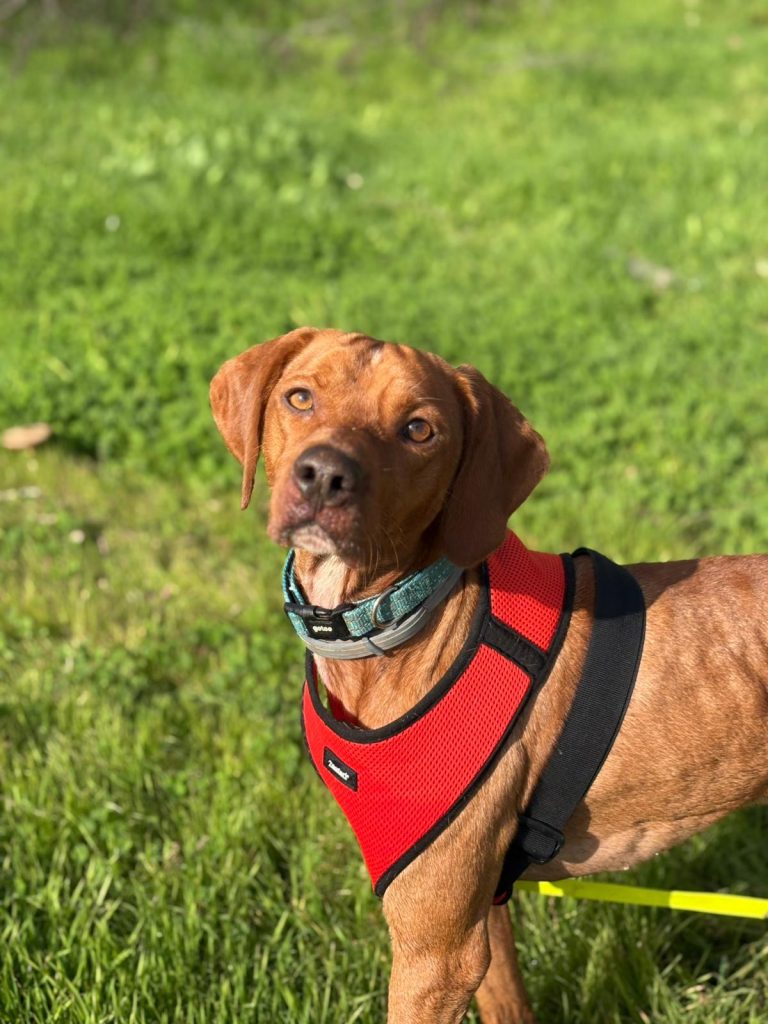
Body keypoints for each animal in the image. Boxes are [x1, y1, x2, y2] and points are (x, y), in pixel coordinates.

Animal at [210, 326, 768, 1024]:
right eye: (300, 397)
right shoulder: (477, 917)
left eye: (419, 430)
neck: (403, 627)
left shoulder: (437, 952)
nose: (325, 476)